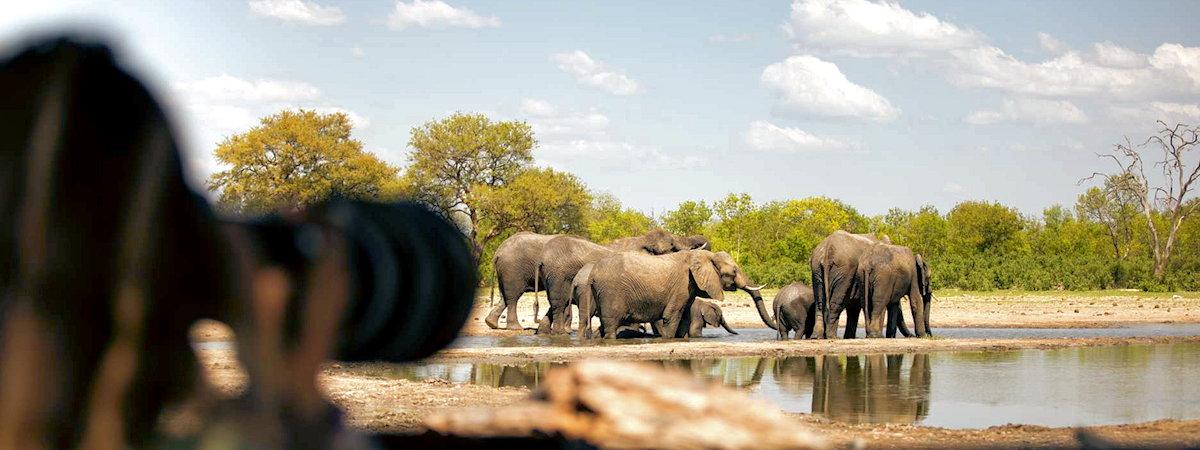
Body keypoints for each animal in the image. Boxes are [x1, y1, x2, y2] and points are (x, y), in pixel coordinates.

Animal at [583, 250, 772, 338]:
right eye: (733, 272)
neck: (704, 256)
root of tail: (592, 273)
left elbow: (685, 318)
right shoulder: (682, 286)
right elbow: (671, 317)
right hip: (611, 293)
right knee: (610, 324)